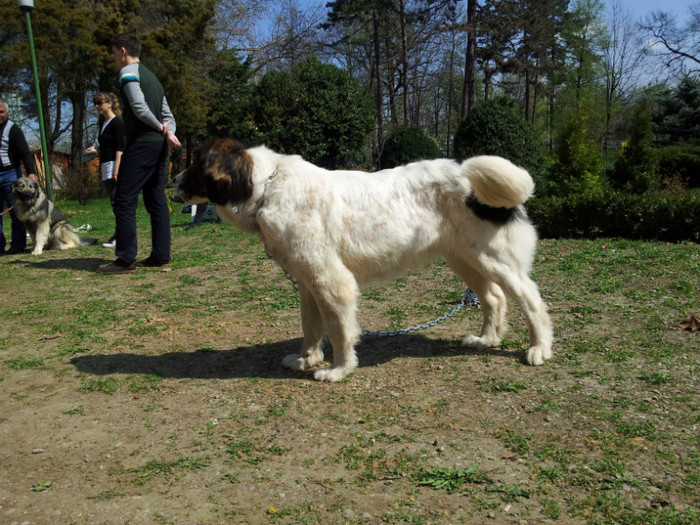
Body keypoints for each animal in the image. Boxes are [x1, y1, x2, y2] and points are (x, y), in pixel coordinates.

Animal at [175, 137, 552, 378]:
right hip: (466, 259)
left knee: (531, 300)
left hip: (494, 260)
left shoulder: (331, 280)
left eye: (194, 164)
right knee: (493, 298)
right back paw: (486, 339)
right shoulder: (308, 282)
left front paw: (338, 369)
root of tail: (466, 172)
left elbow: (339, 329)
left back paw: (539, 348)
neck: (267, 186)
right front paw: (307, 360)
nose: (175, 181)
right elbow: (310, 327)